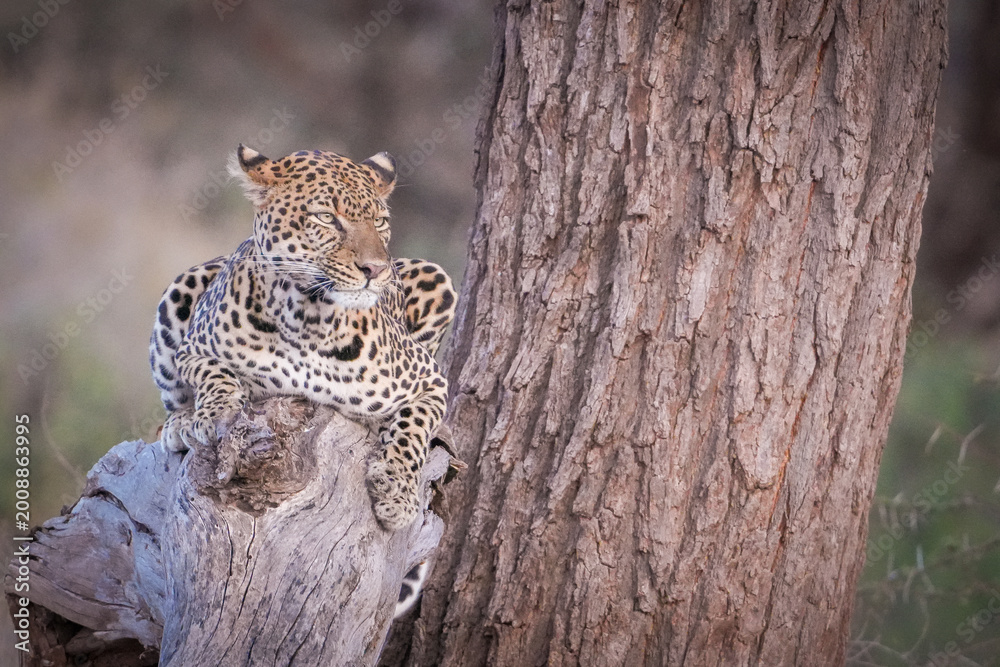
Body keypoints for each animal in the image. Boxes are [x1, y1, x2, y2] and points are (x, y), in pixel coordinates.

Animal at [149, 145, 456, 541]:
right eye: (326, 217)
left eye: (380, 221)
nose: (375, 269)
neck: (308, 318)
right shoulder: (194, 347)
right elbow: (213, 371)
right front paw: (216, 412)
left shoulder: (429, 380)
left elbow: (413, 428)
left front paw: (396, 494)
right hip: (182, 286)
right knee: (171, 401)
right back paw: (181, 423)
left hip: (437, 277)